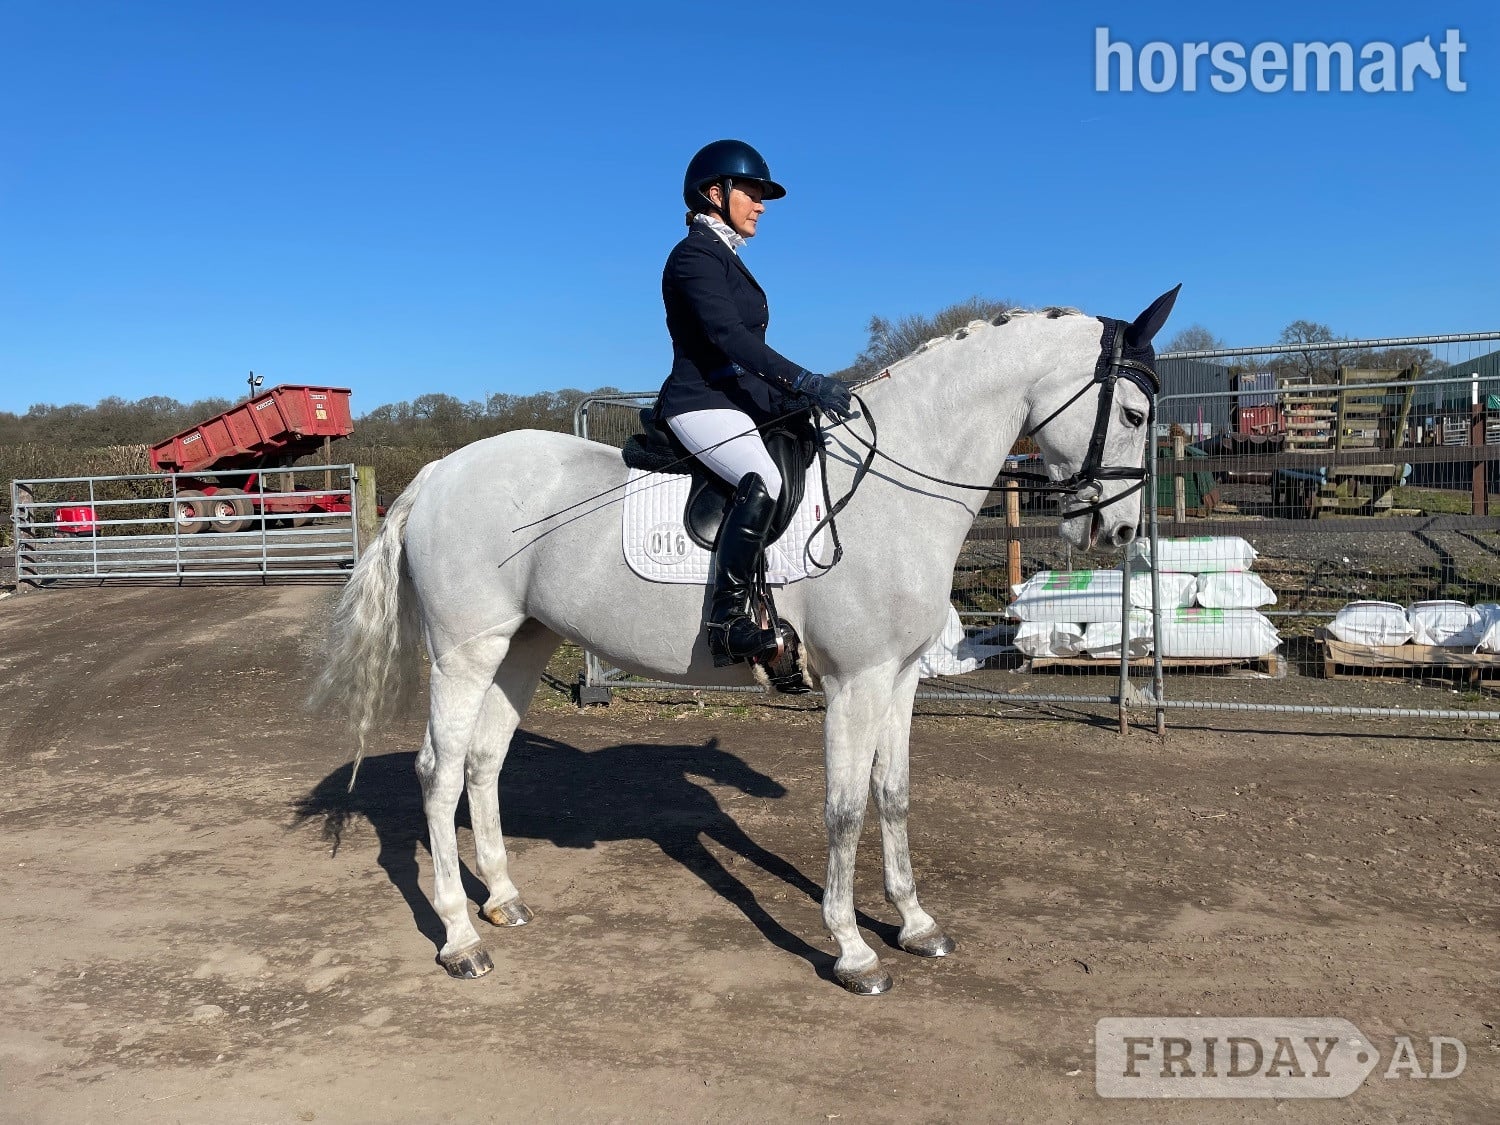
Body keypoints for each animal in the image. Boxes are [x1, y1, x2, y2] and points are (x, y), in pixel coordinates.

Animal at [313, 286, 1179, 994]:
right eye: (1135, 415)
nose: (1119, 531)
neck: (898, 485)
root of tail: (439, 473)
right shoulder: (855, 681)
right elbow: (844, 810)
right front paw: (853, 950)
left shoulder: (899, 678)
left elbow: (894, 795)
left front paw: (917, 923)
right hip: (465, 649)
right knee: (438, 771)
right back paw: (460, 938)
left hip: (521, 643)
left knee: (484, 760)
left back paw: (504, 899)